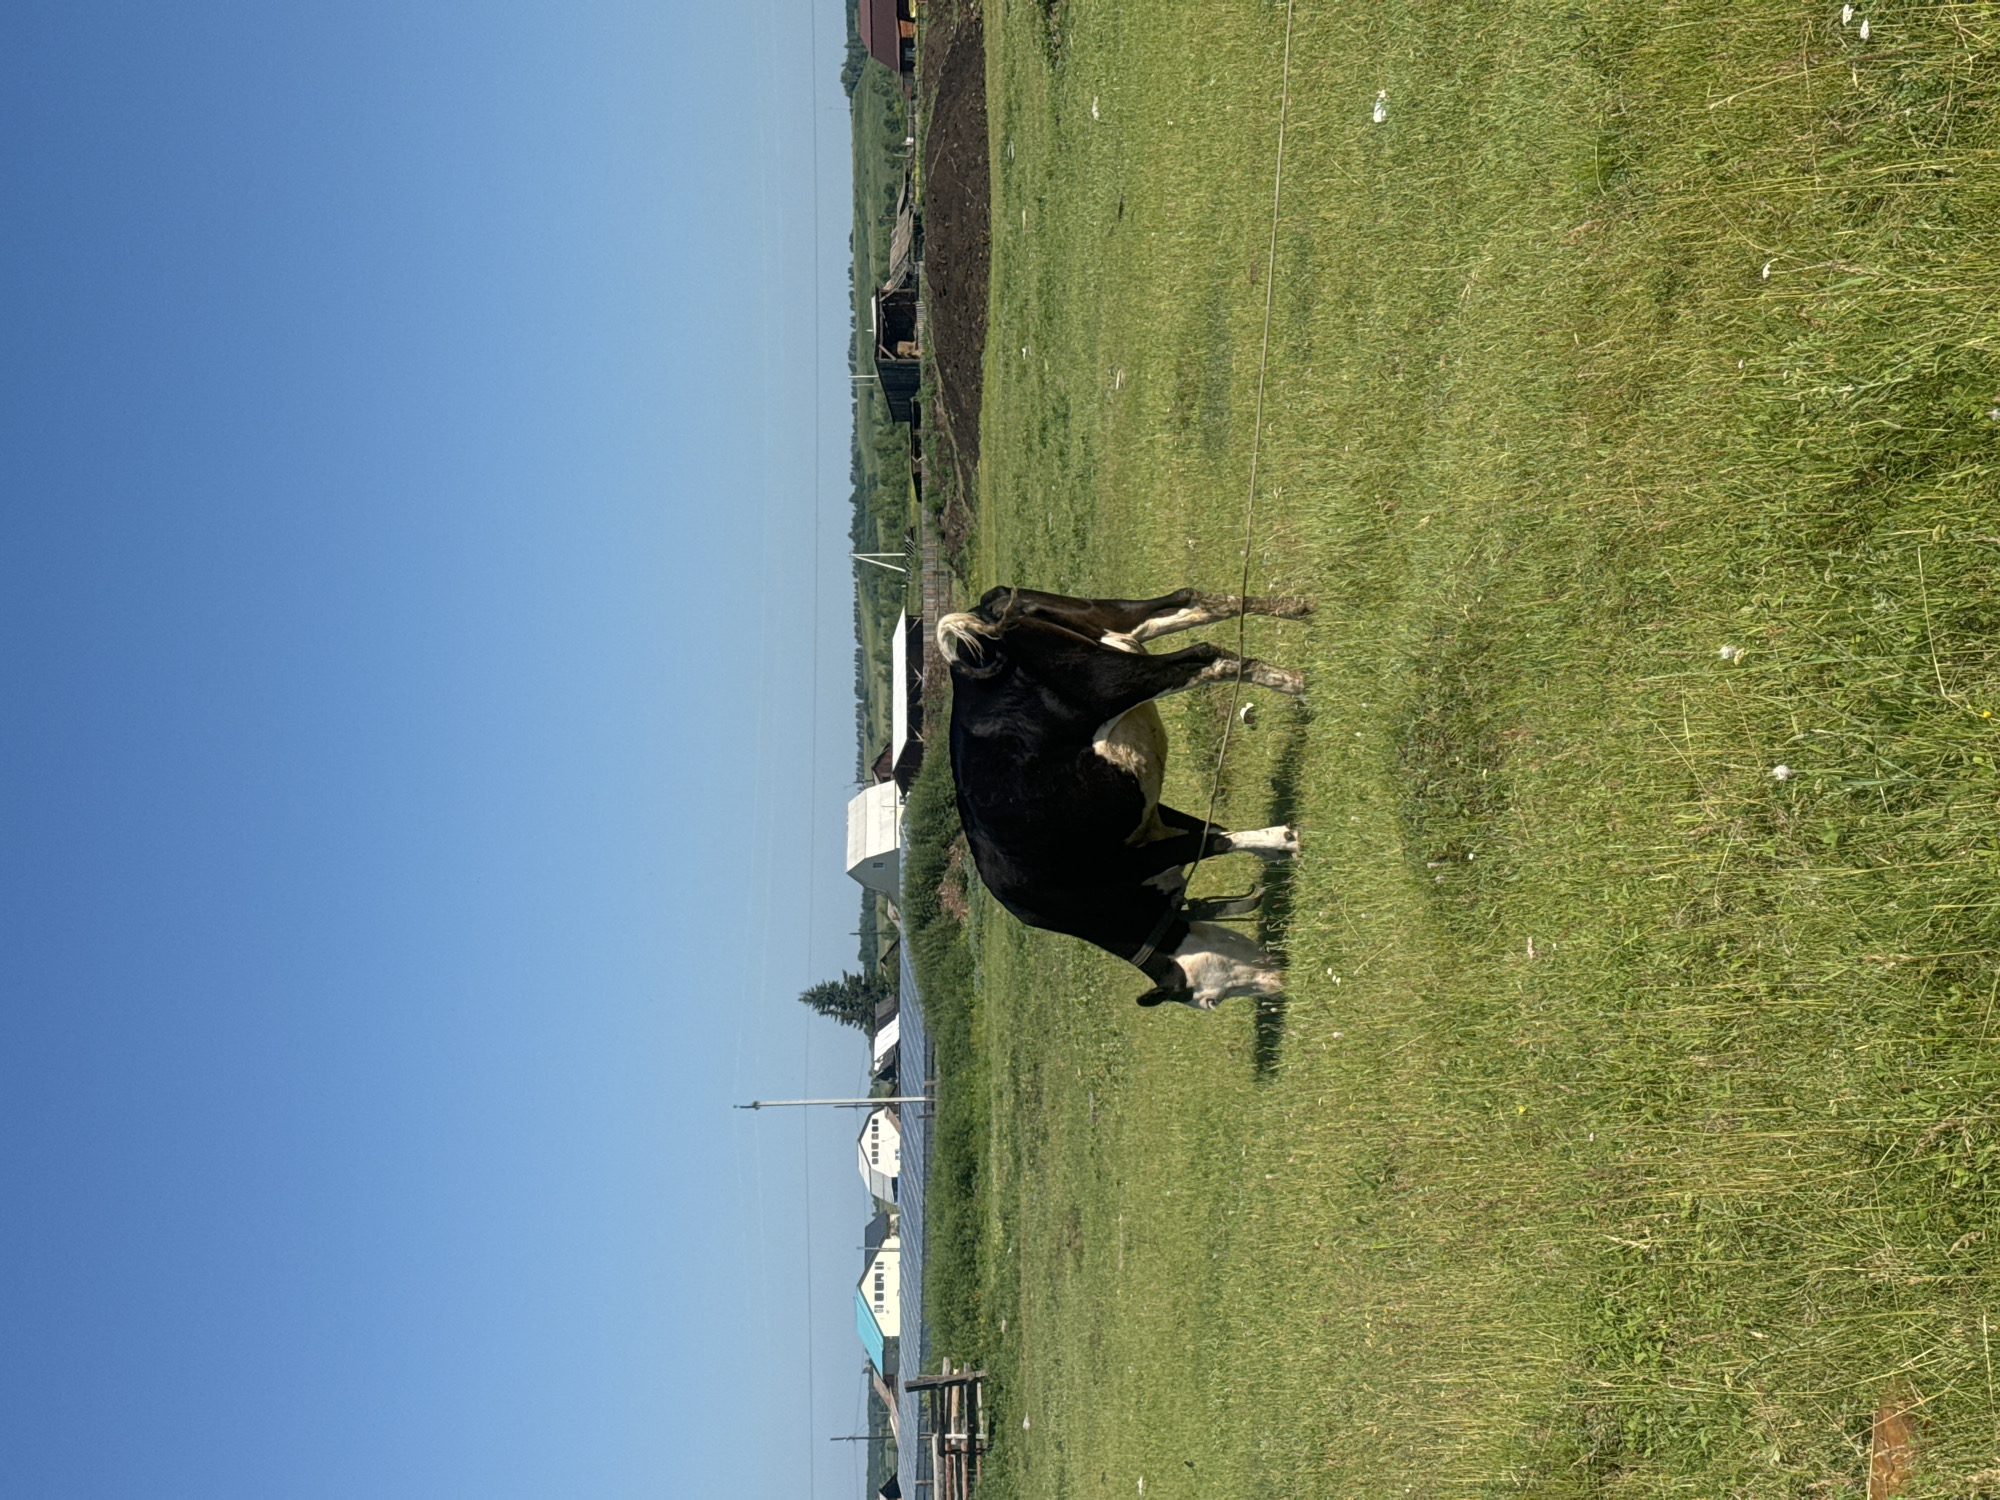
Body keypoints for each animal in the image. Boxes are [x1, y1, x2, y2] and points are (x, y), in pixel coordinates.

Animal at [936, 585, 1310, 1010]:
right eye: (1211, 1001)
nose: (1279, 986)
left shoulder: (1129, 858)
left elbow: (1213, 842)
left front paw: (1288, 840)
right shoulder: (1145, 817)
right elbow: (1213, 831)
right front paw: (1278, 848)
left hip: (1109, 681)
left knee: (1206, 657)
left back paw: (1302, 686)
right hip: (1105, 622)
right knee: (1193, 602)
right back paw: (1299, 611)